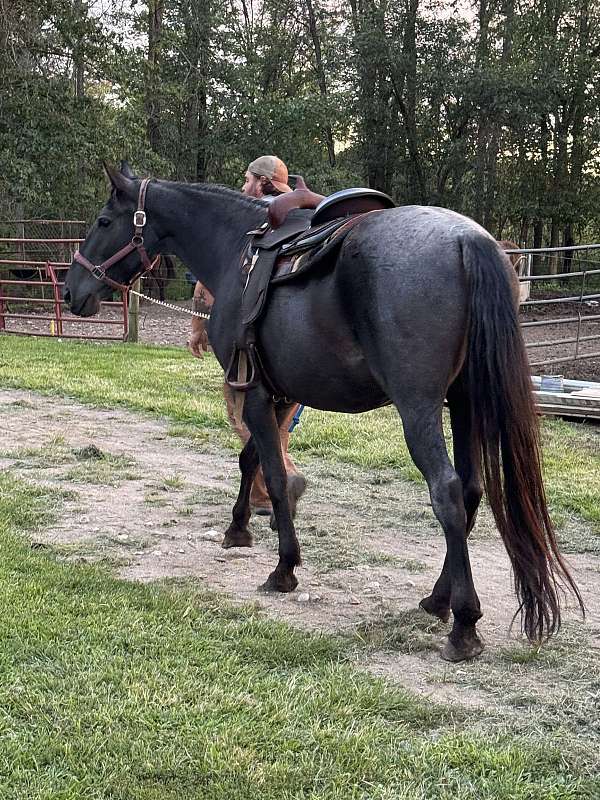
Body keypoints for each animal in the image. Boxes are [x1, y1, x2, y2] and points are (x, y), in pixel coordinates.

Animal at [63, 163, 583, 662]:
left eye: (104, 221)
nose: (71, 291)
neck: (235, 250)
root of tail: (467, 240)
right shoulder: (277, 394)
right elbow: (252, 460)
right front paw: (238, 529)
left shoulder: (254, 392)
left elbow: (273, 475)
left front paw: (283, 568)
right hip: (464, 403)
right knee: (471, 490)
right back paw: (438, 599)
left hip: (419, 407)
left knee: (448, 492)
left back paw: (463, 624)